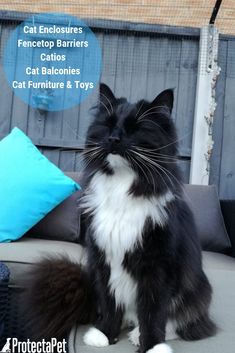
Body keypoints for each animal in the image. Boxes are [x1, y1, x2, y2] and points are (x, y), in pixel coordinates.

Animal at [24, 84, 217, 350]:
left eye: (136, 128)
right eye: (109, 124)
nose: (114, 138)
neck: (122, 184)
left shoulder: (157, 266)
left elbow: (154, 312)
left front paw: (152, 345)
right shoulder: (104, 259)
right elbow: (110, 303)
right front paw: (104, 334)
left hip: (195, 289)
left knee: (180, 321)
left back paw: (139, 334)